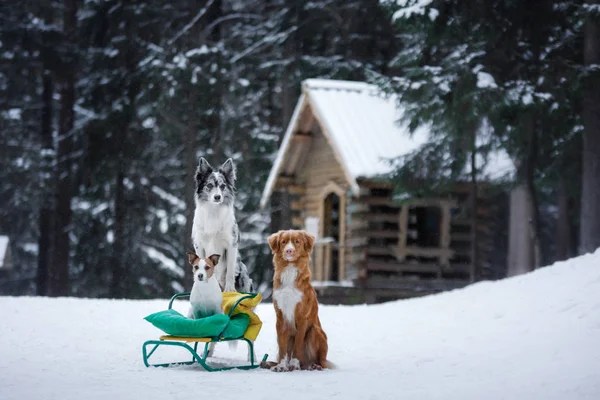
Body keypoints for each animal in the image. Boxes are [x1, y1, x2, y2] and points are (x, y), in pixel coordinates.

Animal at [262, 231, 332, 372]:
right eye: (283, 242)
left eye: (297, 242)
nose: (289, 250)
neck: (289, 269)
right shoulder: (280, 317)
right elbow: (282, 348)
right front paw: (281, 366)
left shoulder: (302, 317)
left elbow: (298, 343)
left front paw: (294, 364)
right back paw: (269, 363)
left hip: (314, 331)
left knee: (320, 361)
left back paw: (313, 366)